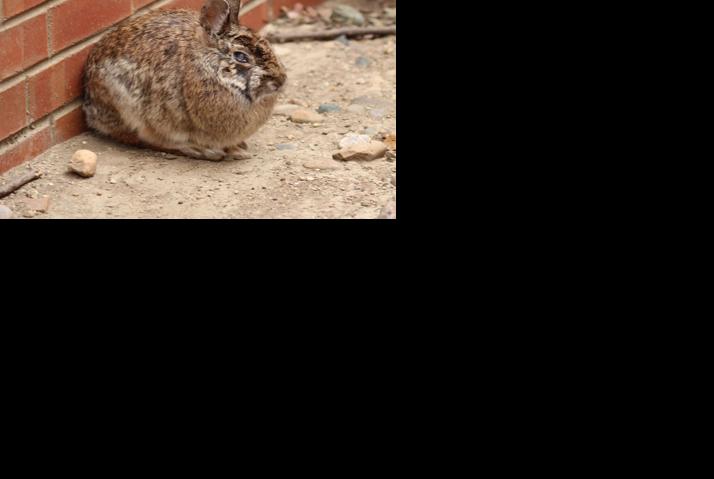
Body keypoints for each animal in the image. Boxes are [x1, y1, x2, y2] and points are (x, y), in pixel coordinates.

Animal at [83, 0, 287, 161]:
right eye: (241, 57)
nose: (281, 80)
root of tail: (91, 110)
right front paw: (234, 151)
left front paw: (238, 147)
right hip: (127, 107)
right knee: (144, 140)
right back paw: (201, 151)